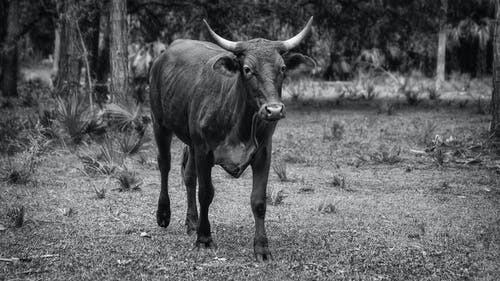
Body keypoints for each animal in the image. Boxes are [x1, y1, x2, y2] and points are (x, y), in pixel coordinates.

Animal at [148, 17, 314, 258]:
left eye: (282, 68)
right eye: (247, 69)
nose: (274, 110)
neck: (239, 124)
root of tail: (164, 54)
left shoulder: (263, 153)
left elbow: (259, 200)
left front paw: (261, 246)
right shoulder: (204, 151)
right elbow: (206, 193)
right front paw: (204, 238)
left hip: (190, 142)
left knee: (188, 176)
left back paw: (192, 222)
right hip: (159, 123)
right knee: (164, 165)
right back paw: (164, 214)